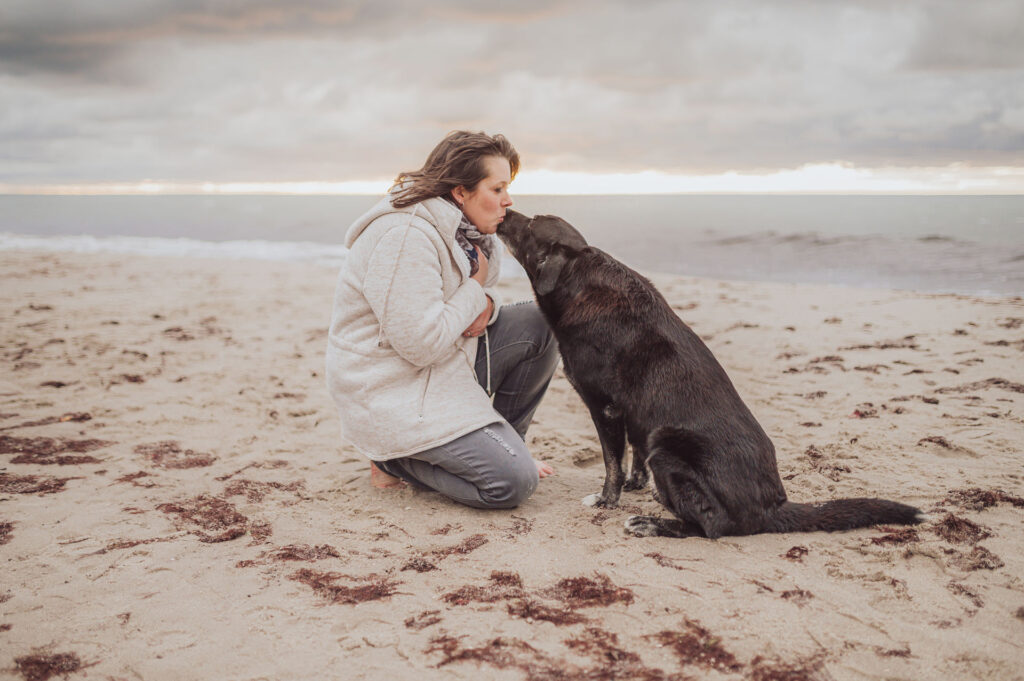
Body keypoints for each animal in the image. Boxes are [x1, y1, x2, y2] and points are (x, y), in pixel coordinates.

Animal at [497, 209, 929, 540]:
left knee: (713, 527)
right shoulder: (633, 412)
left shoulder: (605, 408)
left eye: (530, 224)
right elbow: (633, 452)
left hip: (667, 446)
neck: (578, 278)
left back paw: (652, 524)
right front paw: (637, 483)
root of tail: (773, 507)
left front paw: (608, 500)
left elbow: (611, 463)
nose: (504, 212)